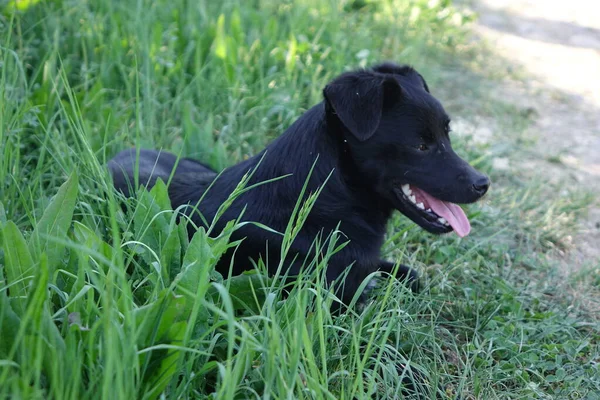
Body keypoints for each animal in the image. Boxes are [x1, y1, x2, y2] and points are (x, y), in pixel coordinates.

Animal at [110, 62, 490, 304]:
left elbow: (404, 273)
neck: (326, 197)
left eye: (447, 135)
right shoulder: (326, 299)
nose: (483, 183)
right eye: (421, 145)